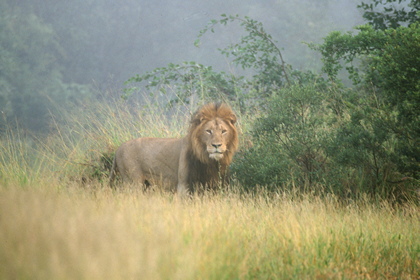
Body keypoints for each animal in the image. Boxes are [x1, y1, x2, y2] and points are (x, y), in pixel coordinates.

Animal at [110, 101, 238, 196]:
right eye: (208, 131)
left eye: (223, 131)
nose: (216, 145)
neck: (209, 161)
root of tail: (118, 149)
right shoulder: (184, 185)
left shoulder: (213, 185)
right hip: (133, 182)